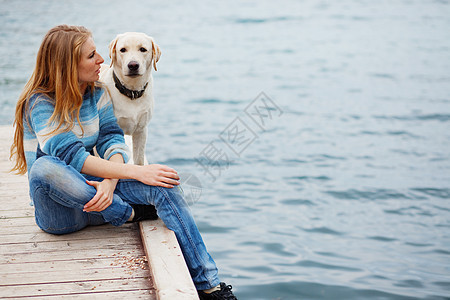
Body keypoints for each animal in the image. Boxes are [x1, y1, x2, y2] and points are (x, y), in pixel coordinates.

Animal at [99, 32, 161, 165]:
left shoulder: (141, 131)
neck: (132, 92)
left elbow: (139, 160)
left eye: (143, 49)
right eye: (123, 50)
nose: (133, 65)